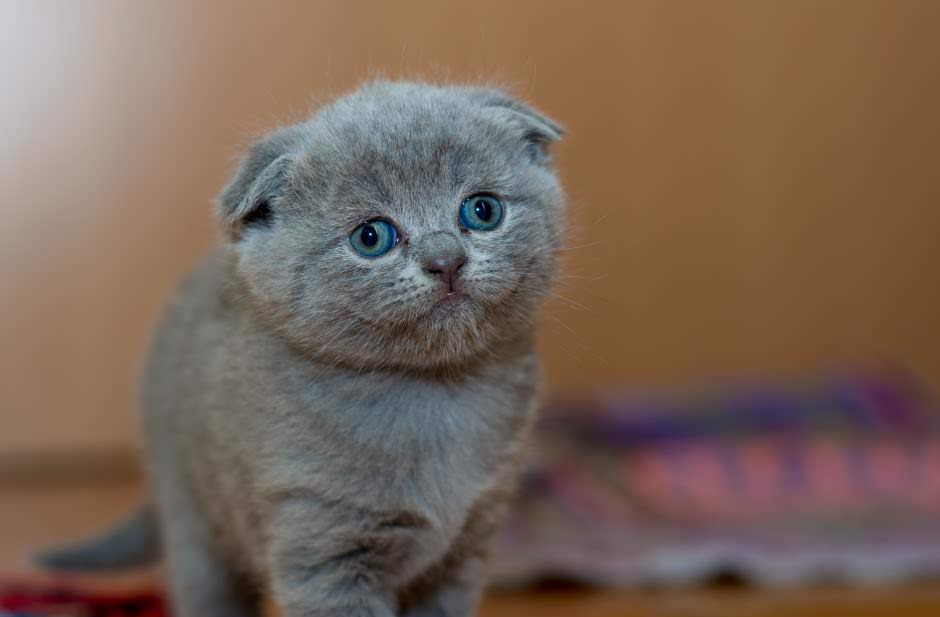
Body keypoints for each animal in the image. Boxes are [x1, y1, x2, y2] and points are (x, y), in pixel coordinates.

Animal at [38, 82, 564, 616]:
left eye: (482, 210)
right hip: (193, 505)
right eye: (371, 237)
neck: (436, 398)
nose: (446, 259)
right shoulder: (322, 539)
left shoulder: (467, 543)